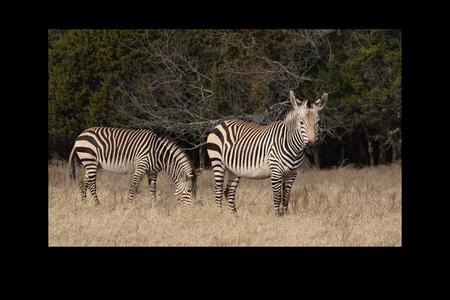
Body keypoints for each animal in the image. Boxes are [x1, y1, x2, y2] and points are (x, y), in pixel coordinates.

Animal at [67, 125, 198, 205]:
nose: (191, 210)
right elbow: (133, 186)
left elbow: (153, 189)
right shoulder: (141, 165)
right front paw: (130, 205)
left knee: (83, 182)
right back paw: (98, 205)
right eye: (189, 190)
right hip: (90, 160)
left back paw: (84, 203)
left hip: (91, 163)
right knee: (92, 184)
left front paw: (154, 206)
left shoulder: (152, 171)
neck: (158, 154)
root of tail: (79, 136)